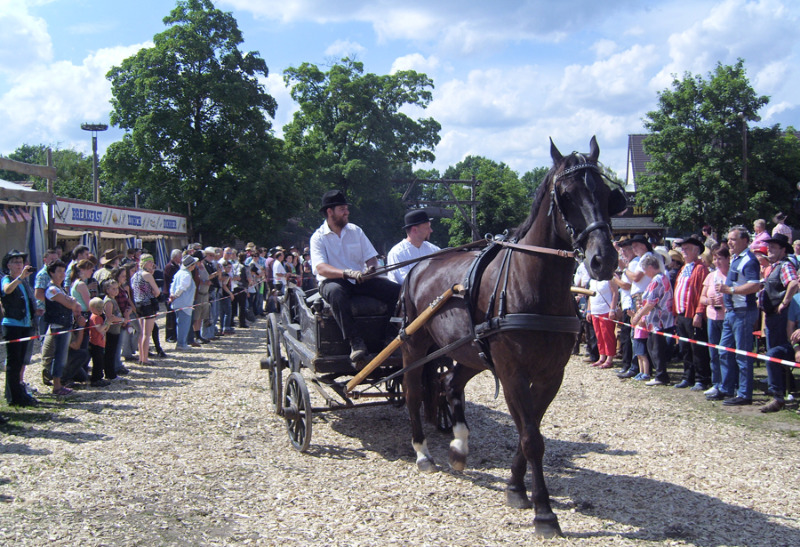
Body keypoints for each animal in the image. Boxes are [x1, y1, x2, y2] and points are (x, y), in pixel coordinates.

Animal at [404, 137, 620, 540]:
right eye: (566, 195)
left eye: (604, 192)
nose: (604, 260)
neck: (534, 285)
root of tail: (420, 265)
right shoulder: (512, 372)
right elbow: (531, 436)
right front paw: (544, 513)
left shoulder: (550, 374)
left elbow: (528, 431)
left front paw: (517, 489)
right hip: (415, 344)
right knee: (413, 391)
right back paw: (423, 452)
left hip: (468, 351)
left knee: (449, 382)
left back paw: (459, 447)